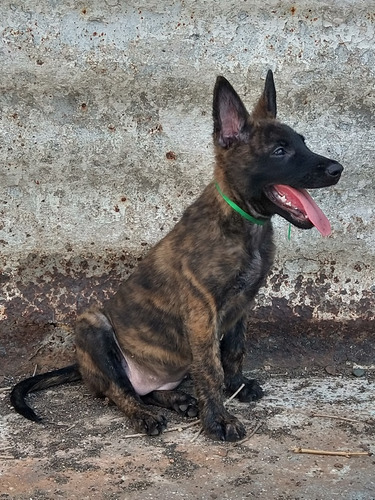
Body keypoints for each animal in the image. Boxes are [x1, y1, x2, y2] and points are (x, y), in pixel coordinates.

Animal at [9, 71, 344, 442]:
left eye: (303, 142)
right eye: (280, 151)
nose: (338, 169)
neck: (243, 223)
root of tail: (81, 367)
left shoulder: (243, 304)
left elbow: (234, 350)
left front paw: (237, 385)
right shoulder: (202, 311)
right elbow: (210, 368)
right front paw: (218, 420)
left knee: (146, 390)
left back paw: (178, 400)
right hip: (92, 324)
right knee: (119, 390)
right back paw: (145, 415)